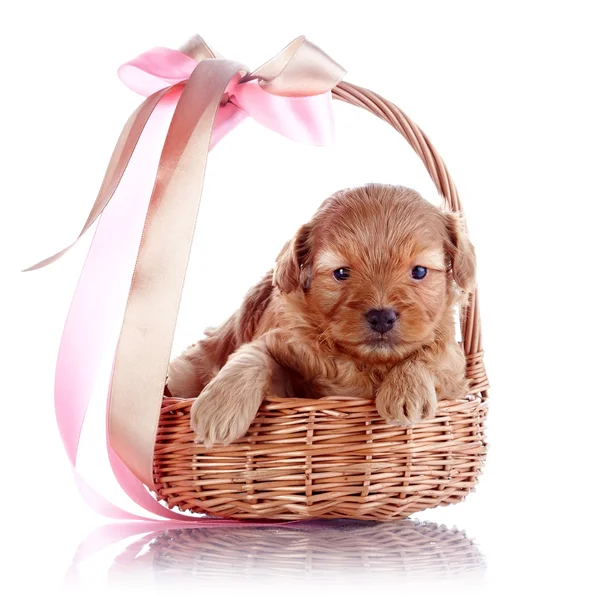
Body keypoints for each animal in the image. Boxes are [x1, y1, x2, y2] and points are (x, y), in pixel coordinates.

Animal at [166, 183, 476, 446]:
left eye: (419, 271)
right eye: (341, 273)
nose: (381, 317)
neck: (366, 362)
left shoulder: (454, 367)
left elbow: (429, 354)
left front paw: (405, 390)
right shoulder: (285, 351)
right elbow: (254, 353)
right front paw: (219, 406)